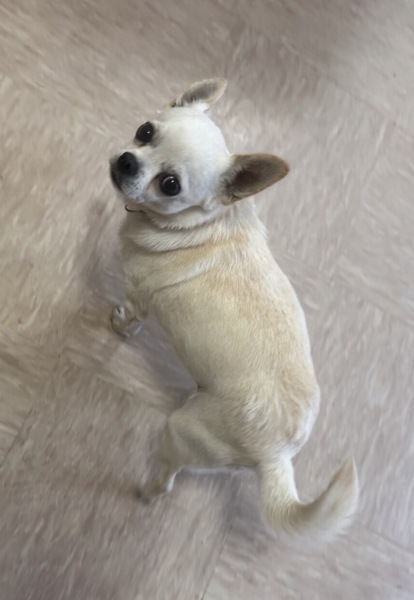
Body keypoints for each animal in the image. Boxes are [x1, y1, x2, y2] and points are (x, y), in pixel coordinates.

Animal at [109, 79, 358, 539]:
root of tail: (279, 455)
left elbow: (129, 317)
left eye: (170, 185)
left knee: (165, 479)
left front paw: (116, 326)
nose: (128, 161)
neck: (205, 223)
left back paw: (144, 491)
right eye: (145, 131)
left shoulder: (137, 293)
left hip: (180, 431)